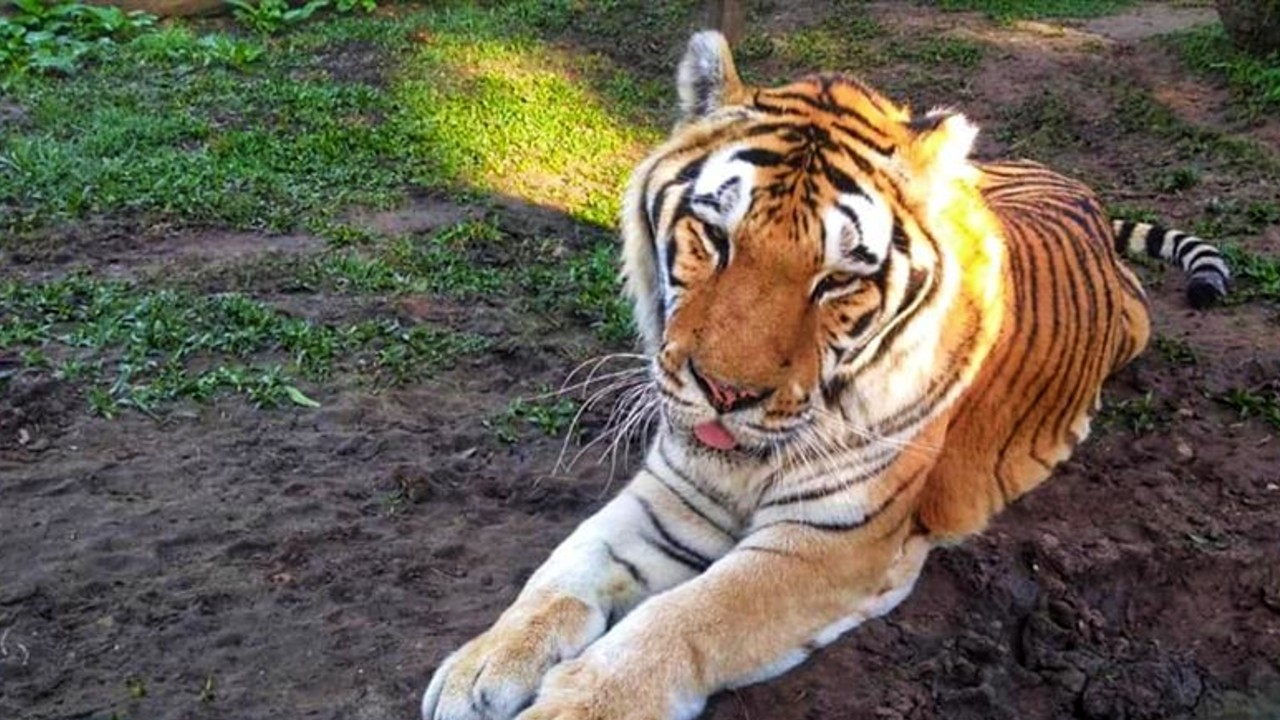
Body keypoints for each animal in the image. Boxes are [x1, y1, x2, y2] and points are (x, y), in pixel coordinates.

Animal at [421, 30, 1230, 720]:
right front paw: (482, 666)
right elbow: (566, 569)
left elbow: (686, 619)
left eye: (838, 279)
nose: (726, 393)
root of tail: (1070, 184)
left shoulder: (828, 543)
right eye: (713, 236)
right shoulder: (673, 493)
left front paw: (575, 705)